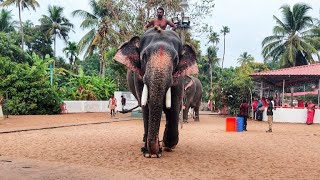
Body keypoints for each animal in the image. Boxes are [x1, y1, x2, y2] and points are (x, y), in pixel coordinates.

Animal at [112, 26, 198, 158]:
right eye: (144, 56)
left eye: (176, 59)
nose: (157, 151)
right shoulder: (138, 77)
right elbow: (146, 107)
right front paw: (149, 153)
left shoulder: (179, 79)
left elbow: (174, 106)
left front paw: (168, 145)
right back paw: (145, 139)